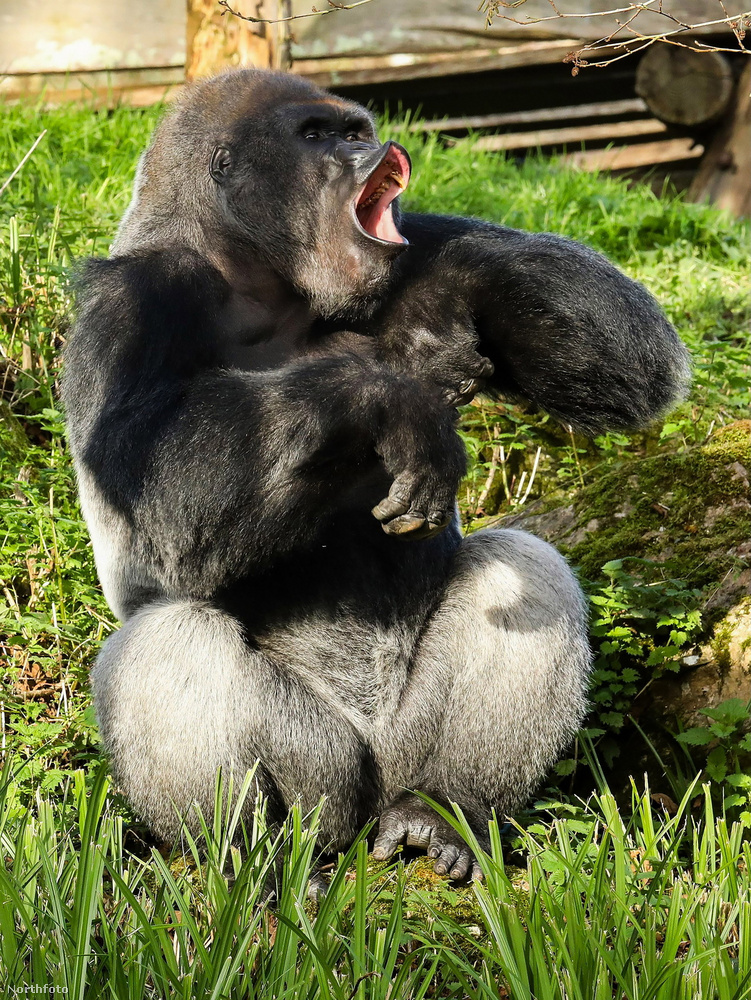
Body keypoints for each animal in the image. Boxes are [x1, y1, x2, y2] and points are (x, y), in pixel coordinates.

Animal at [61, 66, 692, 880]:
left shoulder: (416, 239)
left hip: (400, 758)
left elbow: (633, 363)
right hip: (326, 784)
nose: (369, 150)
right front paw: (386, 395)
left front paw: (447, 297)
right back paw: (252, 866)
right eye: (316, 136)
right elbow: (153, 508)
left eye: (354, 129)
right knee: (171, 640)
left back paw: (445, 811)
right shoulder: (130, 303)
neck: (263, 278)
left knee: (521, 563)